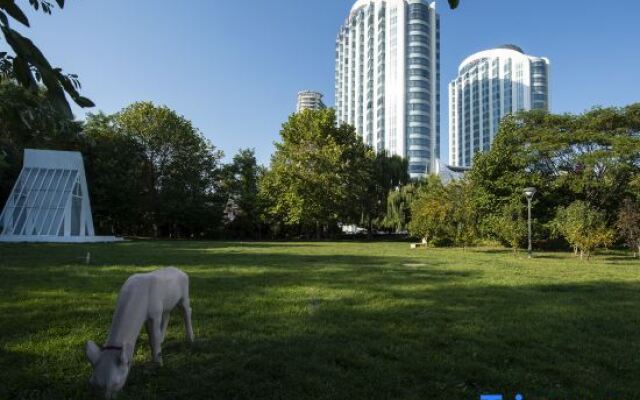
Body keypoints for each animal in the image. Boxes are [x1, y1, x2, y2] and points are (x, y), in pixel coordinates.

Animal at [86, 268, 194, 398]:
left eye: (115, 384)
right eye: (92, 383)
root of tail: (180, 271)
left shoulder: (155, 312)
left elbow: (154, 338)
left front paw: (159, 364)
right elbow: (151, 337)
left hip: (184, 294)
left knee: (187, 310)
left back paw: (191, 339)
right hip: (167, 304)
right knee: (168, 313)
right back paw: (163, 338)